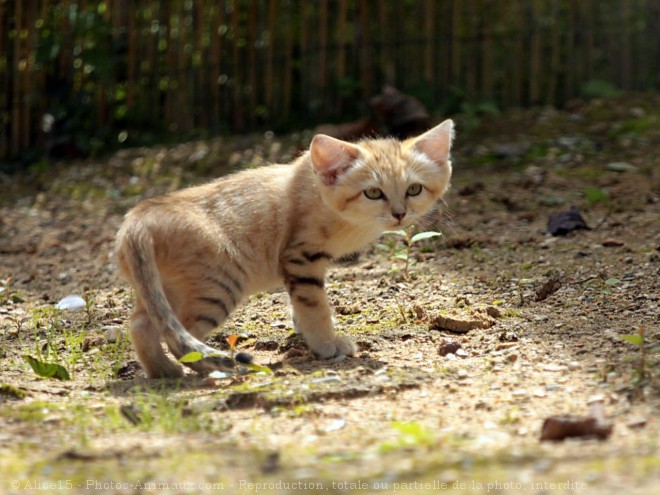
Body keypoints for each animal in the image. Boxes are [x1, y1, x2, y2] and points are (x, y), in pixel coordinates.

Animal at [116, 119, 454, 376]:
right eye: (373, 192)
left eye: (414, 189)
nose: (400, 214)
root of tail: (140, 215)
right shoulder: (301, 258)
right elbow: (315, 306)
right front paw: (326, 345)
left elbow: (300, 304)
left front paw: (303, 330)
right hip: (218, 286)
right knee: (180, 337)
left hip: (161, 289)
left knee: (142, 325)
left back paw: (164, 373)